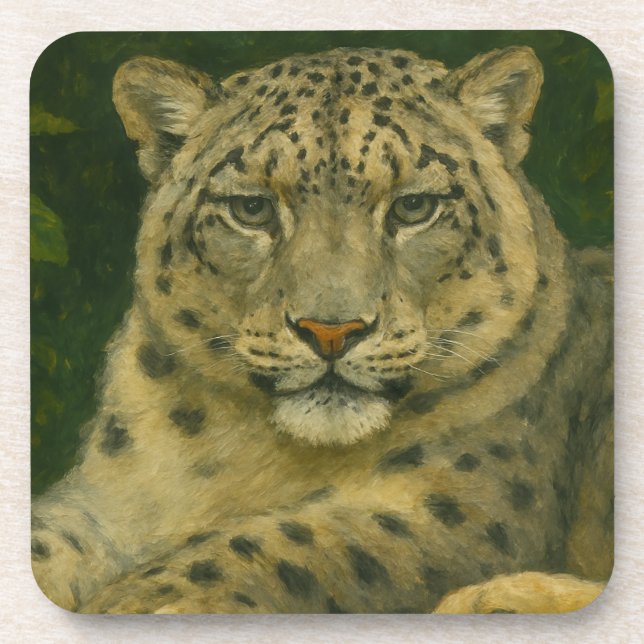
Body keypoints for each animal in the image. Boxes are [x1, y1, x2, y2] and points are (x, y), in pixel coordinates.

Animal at [31, 45, 613, 614]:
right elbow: (44, 540)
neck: (253, 454)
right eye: (252, 208)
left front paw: (130, 602)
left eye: (414, 206)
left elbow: (267, 546)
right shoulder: (103, 501)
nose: (331, 331)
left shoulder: (457, 508)